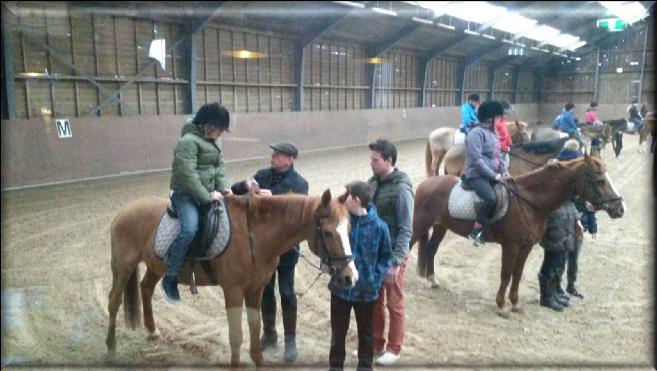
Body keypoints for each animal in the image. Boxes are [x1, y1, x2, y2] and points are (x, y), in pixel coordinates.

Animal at [105, 190, 356, 368]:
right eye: (328, 233)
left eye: (349, 229)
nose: (349, 277)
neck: (253, 235)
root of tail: (125, 210)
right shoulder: (233, 291)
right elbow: (236, 335)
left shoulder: (256, 289)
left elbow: (255, 327)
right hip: (123, 266)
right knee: (114, 301)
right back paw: (111, 348)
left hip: (156, 266)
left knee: (145, 288)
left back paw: (152, 331)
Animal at [412, 155, 624, 318]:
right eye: (599, 180)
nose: (619, 208)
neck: (528, 202)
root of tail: (426, 183)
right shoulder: (510, 246)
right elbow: (506, 274)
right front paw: (501, 306)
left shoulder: (526, 246)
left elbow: (518, 274)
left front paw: (515, 303)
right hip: (419, 225)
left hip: (441, 226)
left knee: (431, 249)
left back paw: (432, 280)